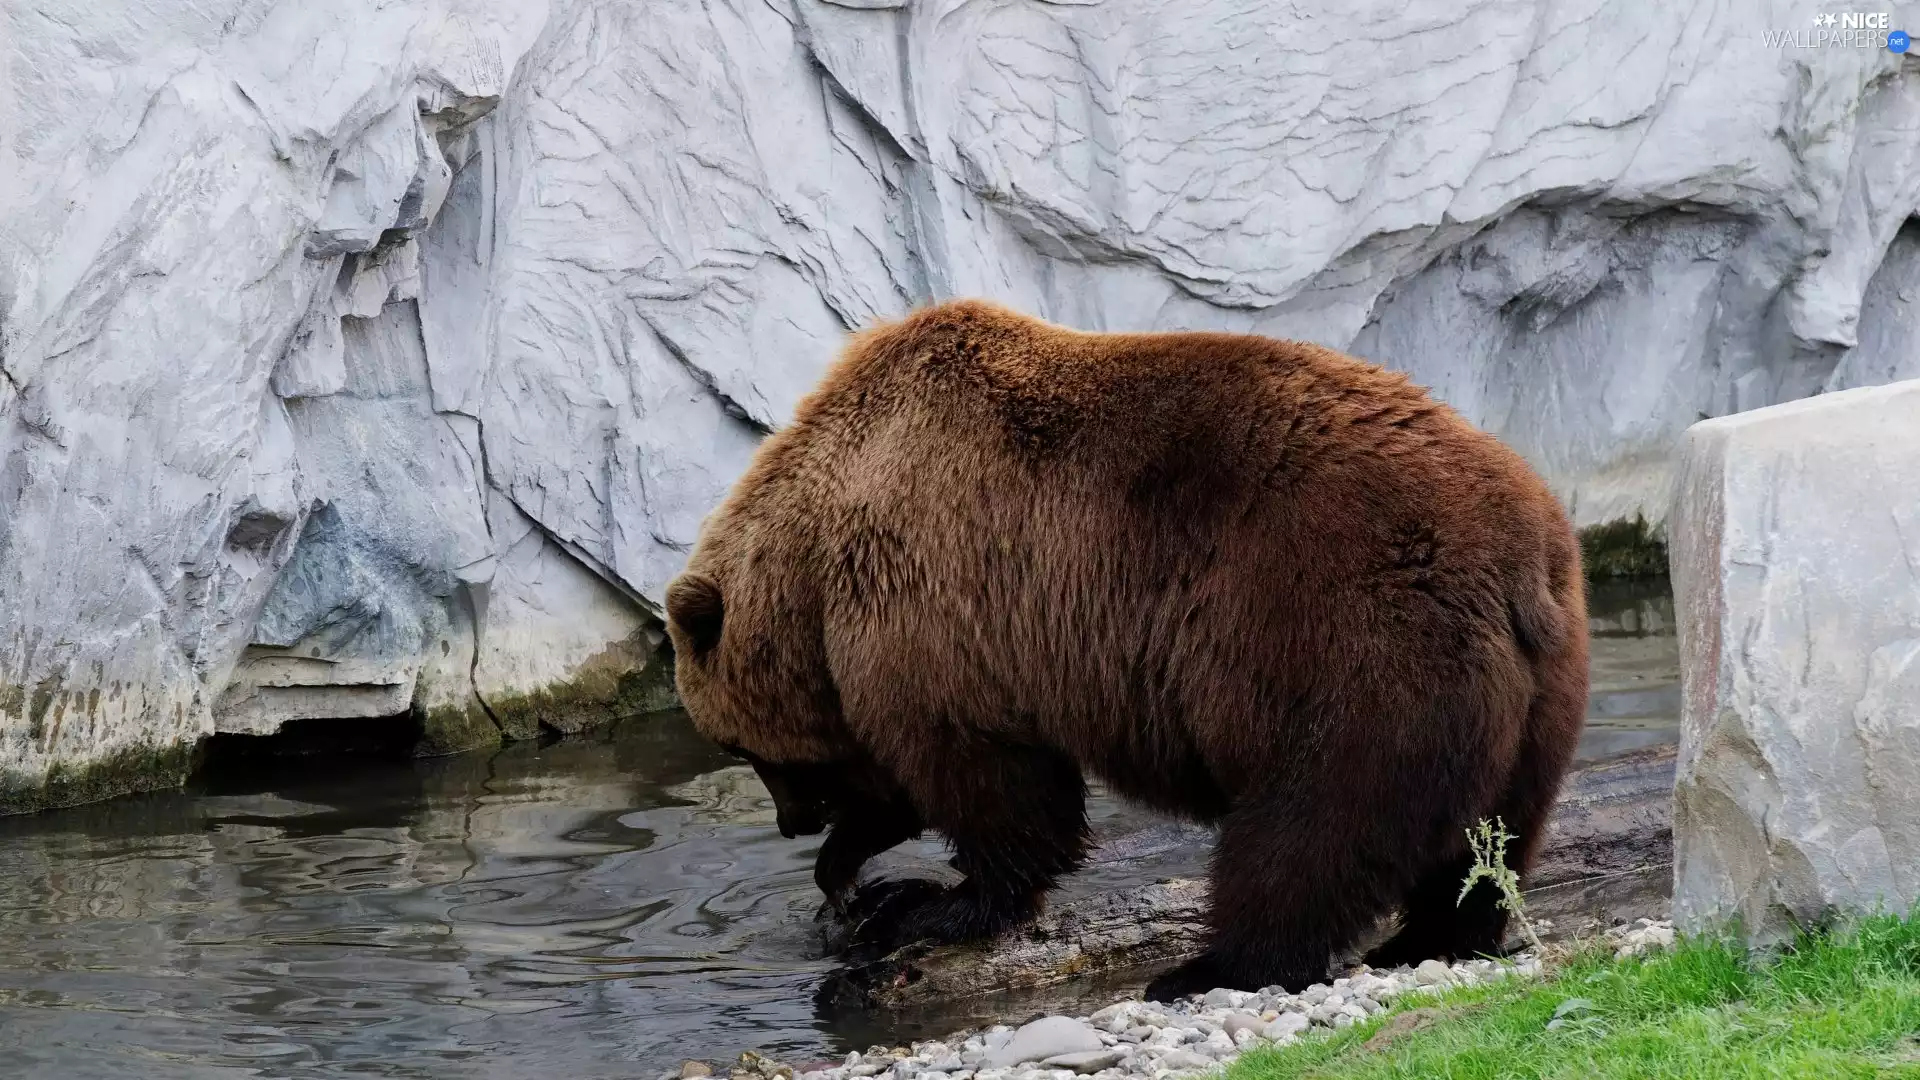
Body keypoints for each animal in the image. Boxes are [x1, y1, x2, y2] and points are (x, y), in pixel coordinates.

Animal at [662, 298, 1588, 999]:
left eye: (740, 748)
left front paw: (926, 903)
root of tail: (1517, 552)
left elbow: (988, 783)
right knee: (1490, 835)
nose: (792, 821)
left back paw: (1210, 965)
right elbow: (913, 783)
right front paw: (851, 878)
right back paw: (1433, 935)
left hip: (1346, 645)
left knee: (1311, 826)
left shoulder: (931, 603)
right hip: (1542, 684)